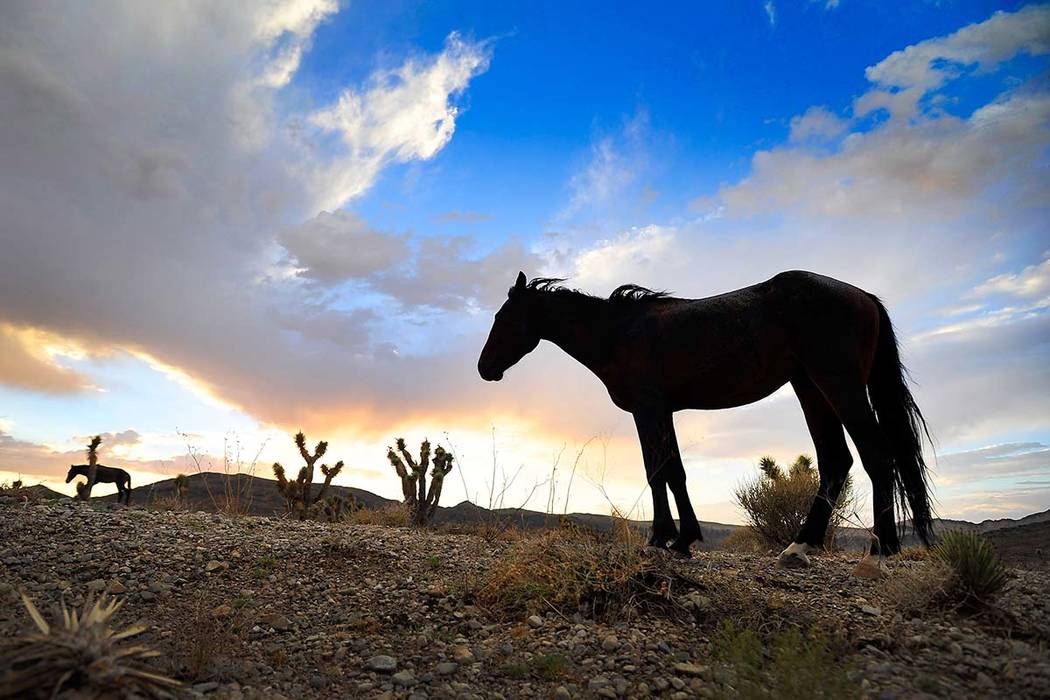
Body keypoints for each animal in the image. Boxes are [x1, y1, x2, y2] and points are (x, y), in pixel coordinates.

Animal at [478, 270, 936, 579]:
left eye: (504, 318)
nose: (484, 369)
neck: (619, 333)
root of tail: (863, 296)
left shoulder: (647, 410)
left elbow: (657, 471)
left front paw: (659, 538)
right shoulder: (663, 412)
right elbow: (675, 472)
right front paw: (683, 539)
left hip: (839, 387)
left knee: (876, 455)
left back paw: (878, 551)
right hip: (811, 389)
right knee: (836, 460)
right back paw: (800, 548)